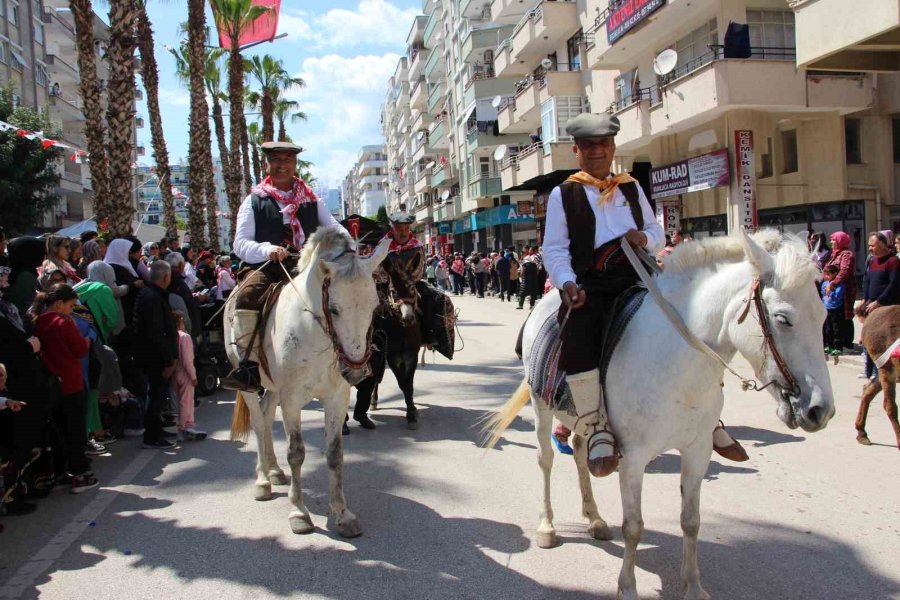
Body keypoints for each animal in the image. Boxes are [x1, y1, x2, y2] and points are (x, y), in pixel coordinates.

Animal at [227, 227, 388, 536]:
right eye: (334, 309)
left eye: (374, 306)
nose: (356, 372)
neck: (316, 332)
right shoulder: (292, 400)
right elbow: (297, 453)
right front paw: (299, 512)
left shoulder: (337, 398)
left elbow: (335, 453)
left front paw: (342, 513)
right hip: (251, 384)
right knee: (258, 423)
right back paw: (262, 480)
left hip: (273, 388)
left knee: (266, 418)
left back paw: (274, 471)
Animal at [488, 231, 832, 600]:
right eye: (783, 319)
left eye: (823, 316)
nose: (820, 410)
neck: (676, 363)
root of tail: (548, 298)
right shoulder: (633, 457)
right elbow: (634, 527)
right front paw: (627, 587)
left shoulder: (698, 451)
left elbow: (691, 520)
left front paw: (693, 586)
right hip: (541, 405)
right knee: (546, 460)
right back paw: (547, 526)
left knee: (581, 453)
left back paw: (594, 519)